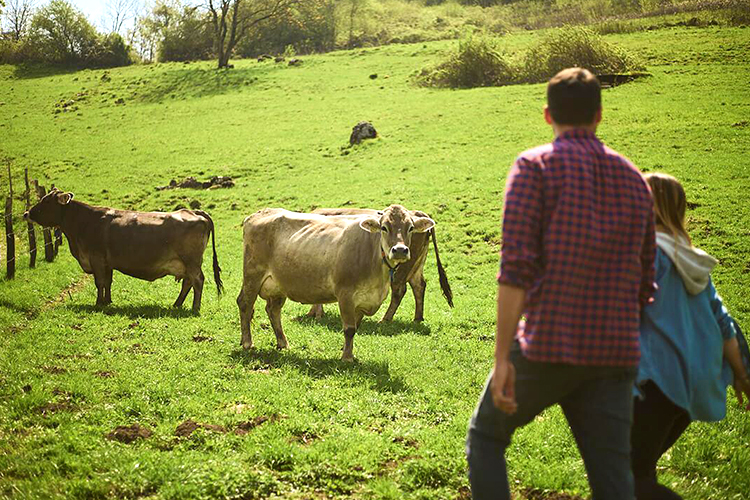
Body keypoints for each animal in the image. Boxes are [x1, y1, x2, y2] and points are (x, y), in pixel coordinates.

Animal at [24, 188, 223, 312]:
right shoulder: (107, 263)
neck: (83, 222)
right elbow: (108, 282)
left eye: (46, 201)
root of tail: (193, 211)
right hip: (186, 264)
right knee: (187, 283)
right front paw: (107, 301)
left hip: (191, 262)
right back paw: (177, 304)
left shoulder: (96, 259)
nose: (27, 213)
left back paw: (195, 307)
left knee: (197, 281)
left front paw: (98, 303)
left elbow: (99, 282)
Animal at [235, 205, 434, 362]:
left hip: (278, 285)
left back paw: (283, 343)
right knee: (245, 304)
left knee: (273, 310)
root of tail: (259, 213)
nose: (400, 250)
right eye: (384, 227)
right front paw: (347, 357)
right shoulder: (345, 294)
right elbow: (349, 328)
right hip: (252, 275)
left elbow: (355, 327)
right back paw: (247, 343)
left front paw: (347, 351)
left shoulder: (362, 301)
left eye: (410, 228)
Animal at [308, 206, 456, 320]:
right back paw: (417, 318)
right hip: (416, 266)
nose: (400, 249)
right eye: (384, 227)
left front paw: (316, 313)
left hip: (403, 269)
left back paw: (385, 319)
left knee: (399, 289)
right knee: (419, 286)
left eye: (410, 228)